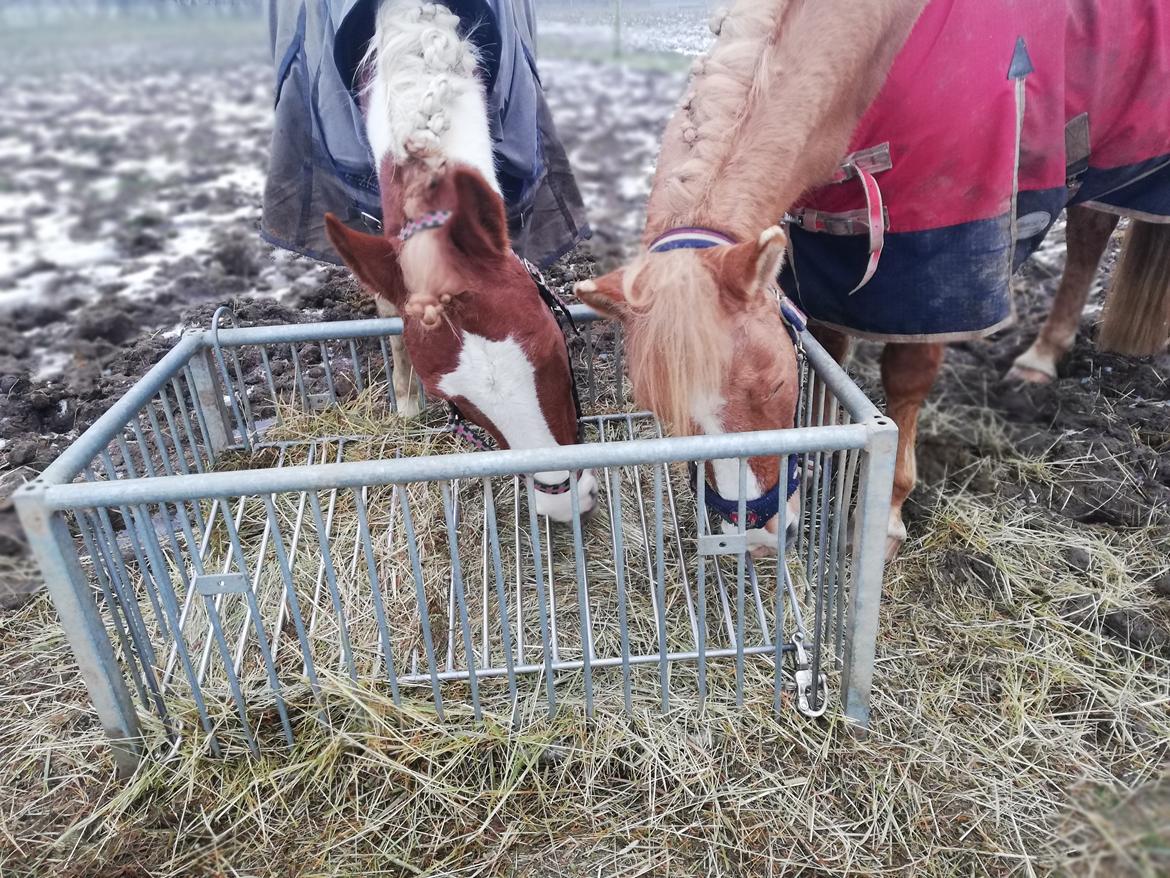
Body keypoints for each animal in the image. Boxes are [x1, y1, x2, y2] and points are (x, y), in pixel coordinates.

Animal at [575, 0, 1170, 559]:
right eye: (663, 412)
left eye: (774, 387)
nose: (760, 538)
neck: (877, 41)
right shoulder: (826, 250)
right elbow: (833, 352)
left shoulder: (939, 258)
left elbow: (906, 376)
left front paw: (884, 517)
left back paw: (1041, 358)